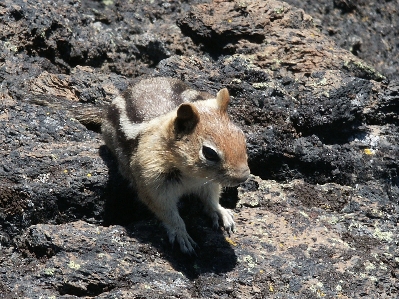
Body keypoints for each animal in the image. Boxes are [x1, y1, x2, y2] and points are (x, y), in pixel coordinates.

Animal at [101, 78, 248, 255]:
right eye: (209, 153)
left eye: (242, 137)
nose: (243, 177)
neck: (193, 176)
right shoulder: (152, 183)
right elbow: (167, 212)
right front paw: (180, 234)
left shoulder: (210, 182)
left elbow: (211, 198)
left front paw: (220, 212)